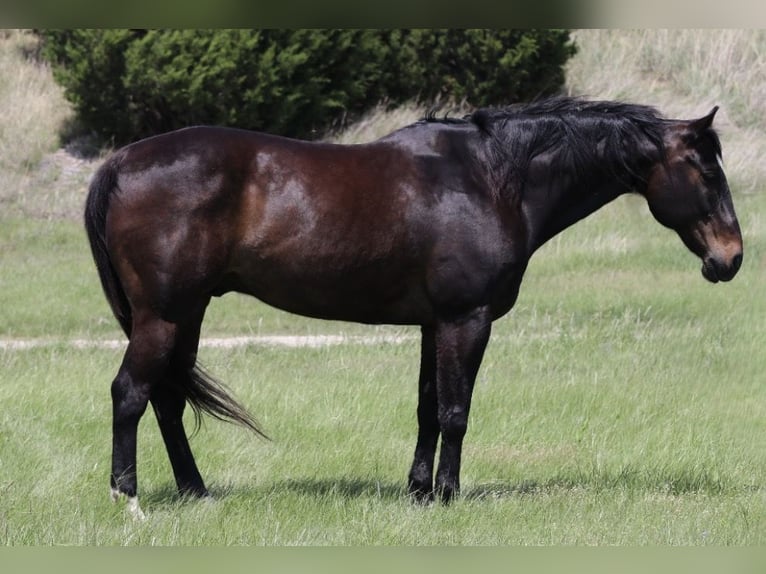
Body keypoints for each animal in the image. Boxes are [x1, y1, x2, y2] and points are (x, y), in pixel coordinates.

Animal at [84, 97, 743, 518]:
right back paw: (128, 500)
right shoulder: (466, 319)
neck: (491, 179)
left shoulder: (433, 324)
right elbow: (455, 412)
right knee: (129, 394)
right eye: (706, 172)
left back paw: (196, 493)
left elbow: (427, 409)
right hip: (165, 315)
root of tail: (119, 162)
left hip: (186, 314)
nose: (731, 258)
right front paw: (448, 497)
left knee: (167, 400)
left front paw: (420, 492)